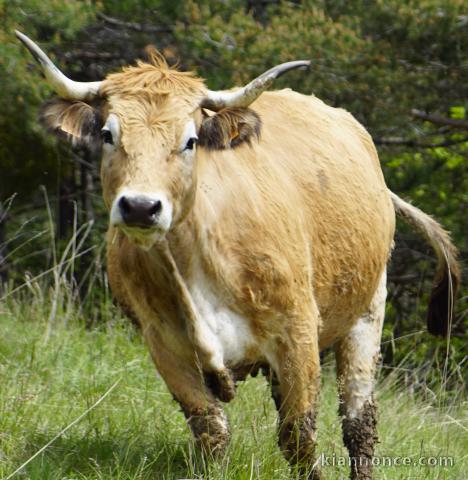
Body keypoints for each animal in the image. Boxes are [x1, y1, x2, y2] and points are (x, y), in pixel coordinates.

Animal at [16, 31, 458, 480]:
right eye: (108, 134)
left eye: (190, 141)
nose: (140, 206)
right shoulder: (164, 342)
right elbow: (211, 430)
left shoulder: (297, 330)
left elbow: (299, 437)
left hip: (368, 310)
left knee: (359, 422)